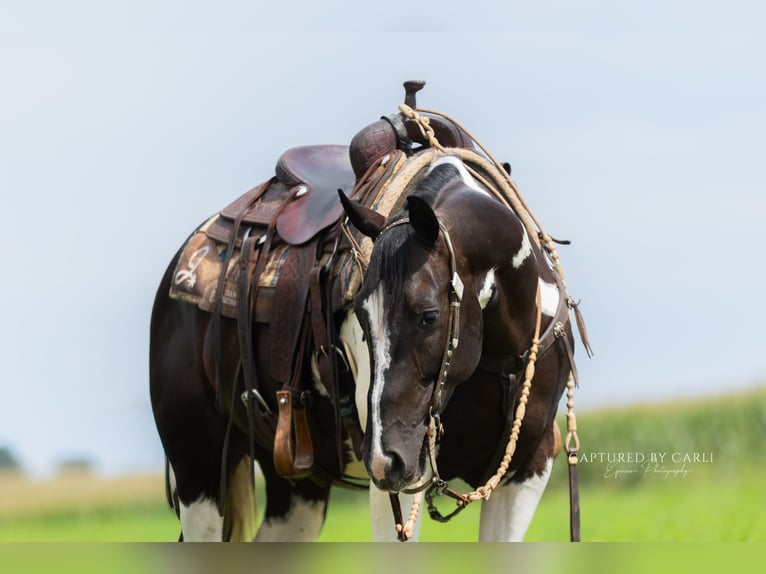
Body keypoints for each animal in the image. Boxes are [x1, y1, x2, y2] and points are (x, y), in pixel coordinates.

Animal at [149, 83, 586, 541]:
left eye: (428, 316)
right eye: (359, 316)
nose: (384, 457)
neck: (503, 353)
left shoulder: (529, 468)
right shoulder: (401, 481)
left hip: (298, 485)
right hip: (198, 466)